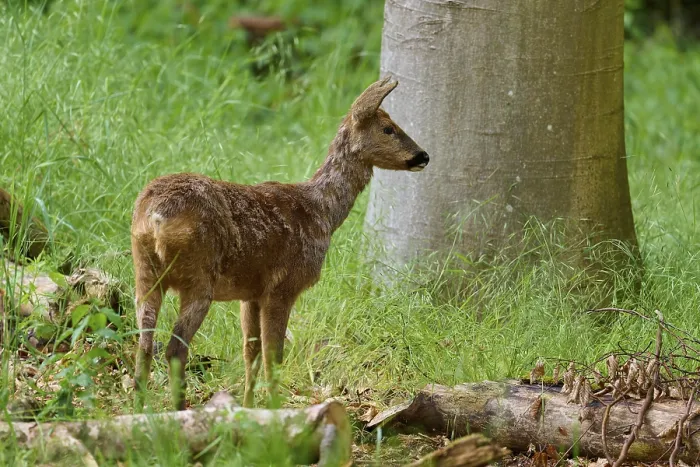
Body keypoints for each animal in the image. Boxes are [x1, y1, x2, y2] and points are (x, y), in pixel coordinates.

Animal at [130, 77, 429, 410]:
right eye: (388, 128)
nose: (423, 156)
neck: (322, 212)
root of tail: (155, 216)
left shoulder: (251, 293)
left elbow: (251, 352)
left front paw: (248, 407)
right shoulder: (284, 286)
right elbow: (274, 357)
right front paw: (273, 409)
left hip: (144, 272)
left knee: (144, 342)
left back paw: (140, 408)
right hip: (198, 276)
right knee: (174, 348)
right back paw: (179, 411)